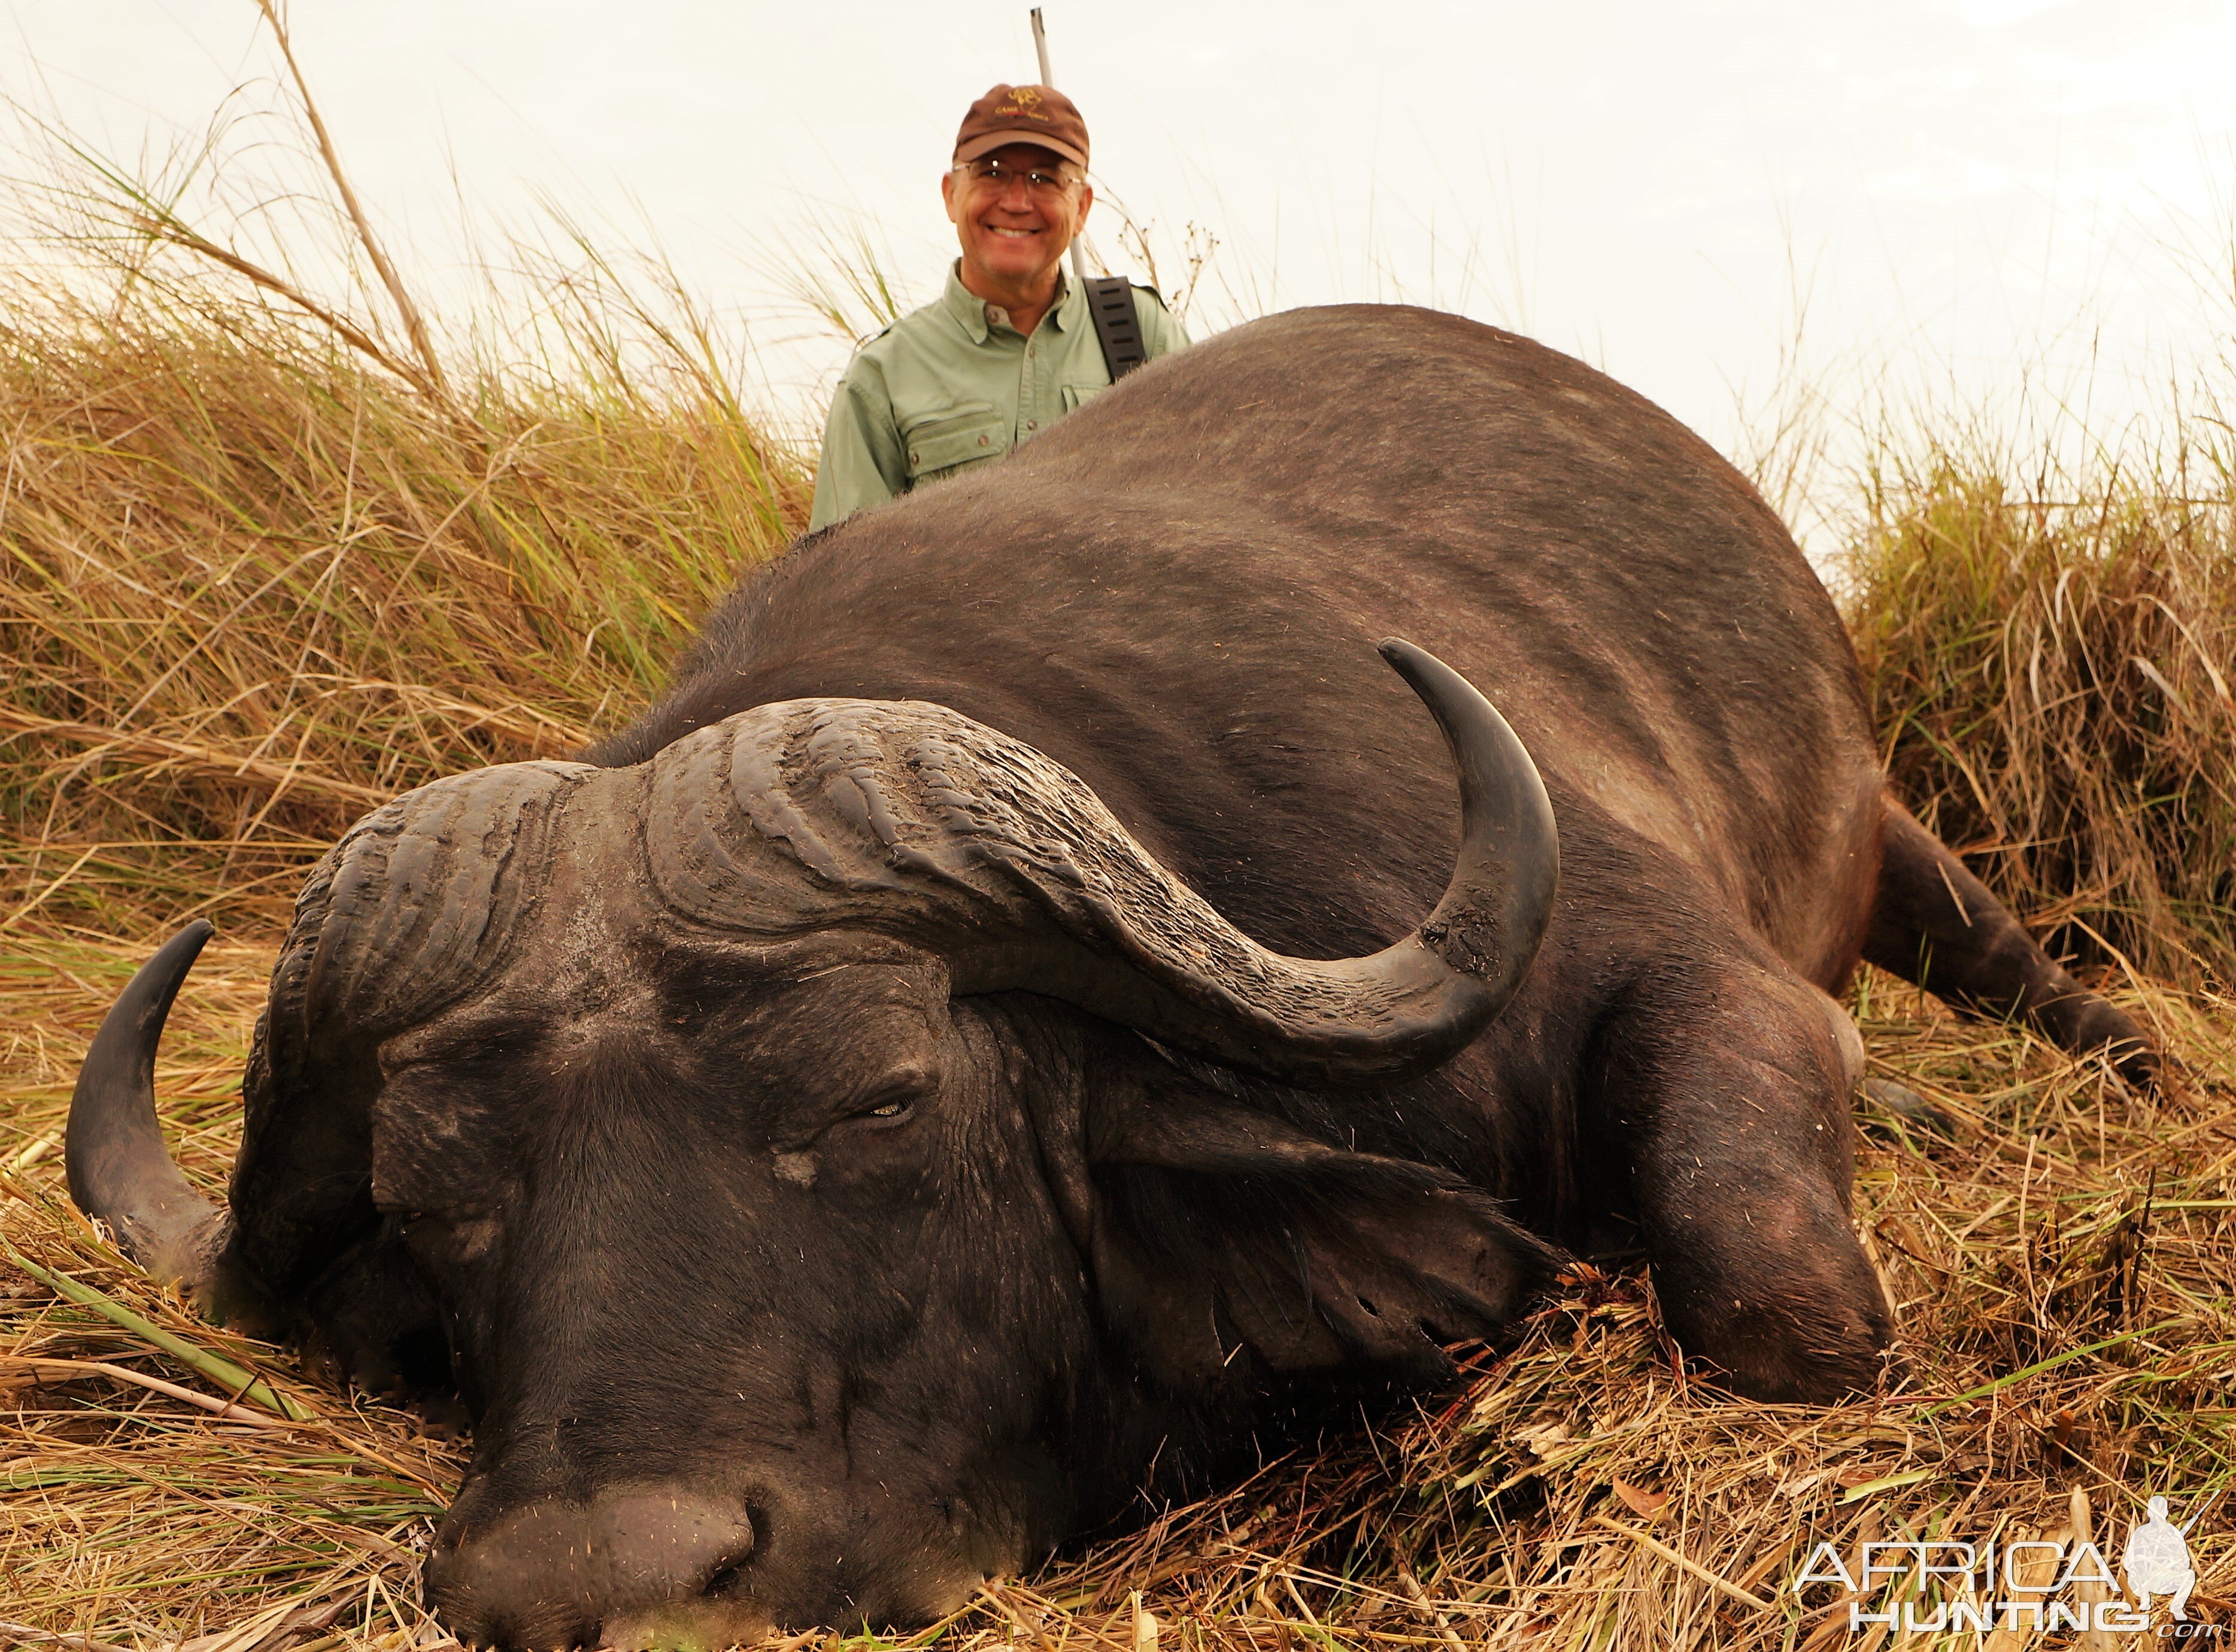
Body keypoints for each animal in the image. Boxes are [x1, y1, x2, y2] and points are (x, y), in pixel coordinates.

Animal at [74, 306, 2146, 1645]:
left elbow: (1778, 1300)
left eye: (879, 1094)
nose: (592, 1585)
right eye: (433, 1197)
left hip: (1891, 841)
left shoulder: (1698, 986)